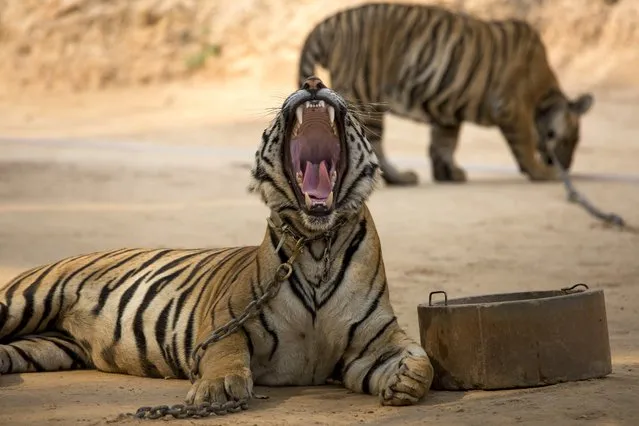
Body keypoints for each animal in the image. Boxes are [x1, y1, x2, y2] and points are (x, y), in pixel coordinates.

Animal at [0, 76, 436, 410]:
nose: (313, 82)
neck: (316, 245)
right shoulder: (227, 318)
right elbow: (227, 352)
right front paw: (218, 389)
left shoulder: (371, 342)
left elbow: (423, 363)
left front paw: (405, 380)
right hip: (25, 301)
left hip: (48, 345)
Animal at [298, 2, 596, 185]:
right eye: (571, 140)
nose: (566, 166)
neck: (544, 97)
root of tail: (330, 22)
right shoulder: (512, 107)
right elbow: (525, 143)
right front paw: (541, 172)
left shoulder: (447, 113)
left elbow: (444, 143)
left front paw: (449, 173)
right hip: (366, 98)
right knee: (373, 146)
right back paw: (401, 179)